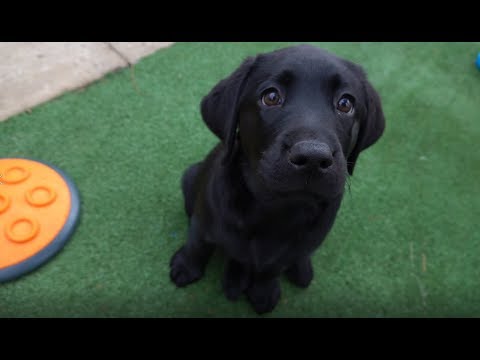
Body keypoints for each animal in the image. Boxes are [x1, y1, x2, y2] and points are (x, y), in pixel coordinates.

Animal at [170, 45, 386, 314]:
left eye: (345, 103)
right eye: (271, 97)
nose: (313, 157)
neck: (276, 208)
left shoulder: (287, 252)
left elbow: (271, 269)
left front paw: (263, 293)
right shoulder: (203, 221)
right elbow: (197, 245)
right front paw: (184, 268)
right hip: (190, 179)